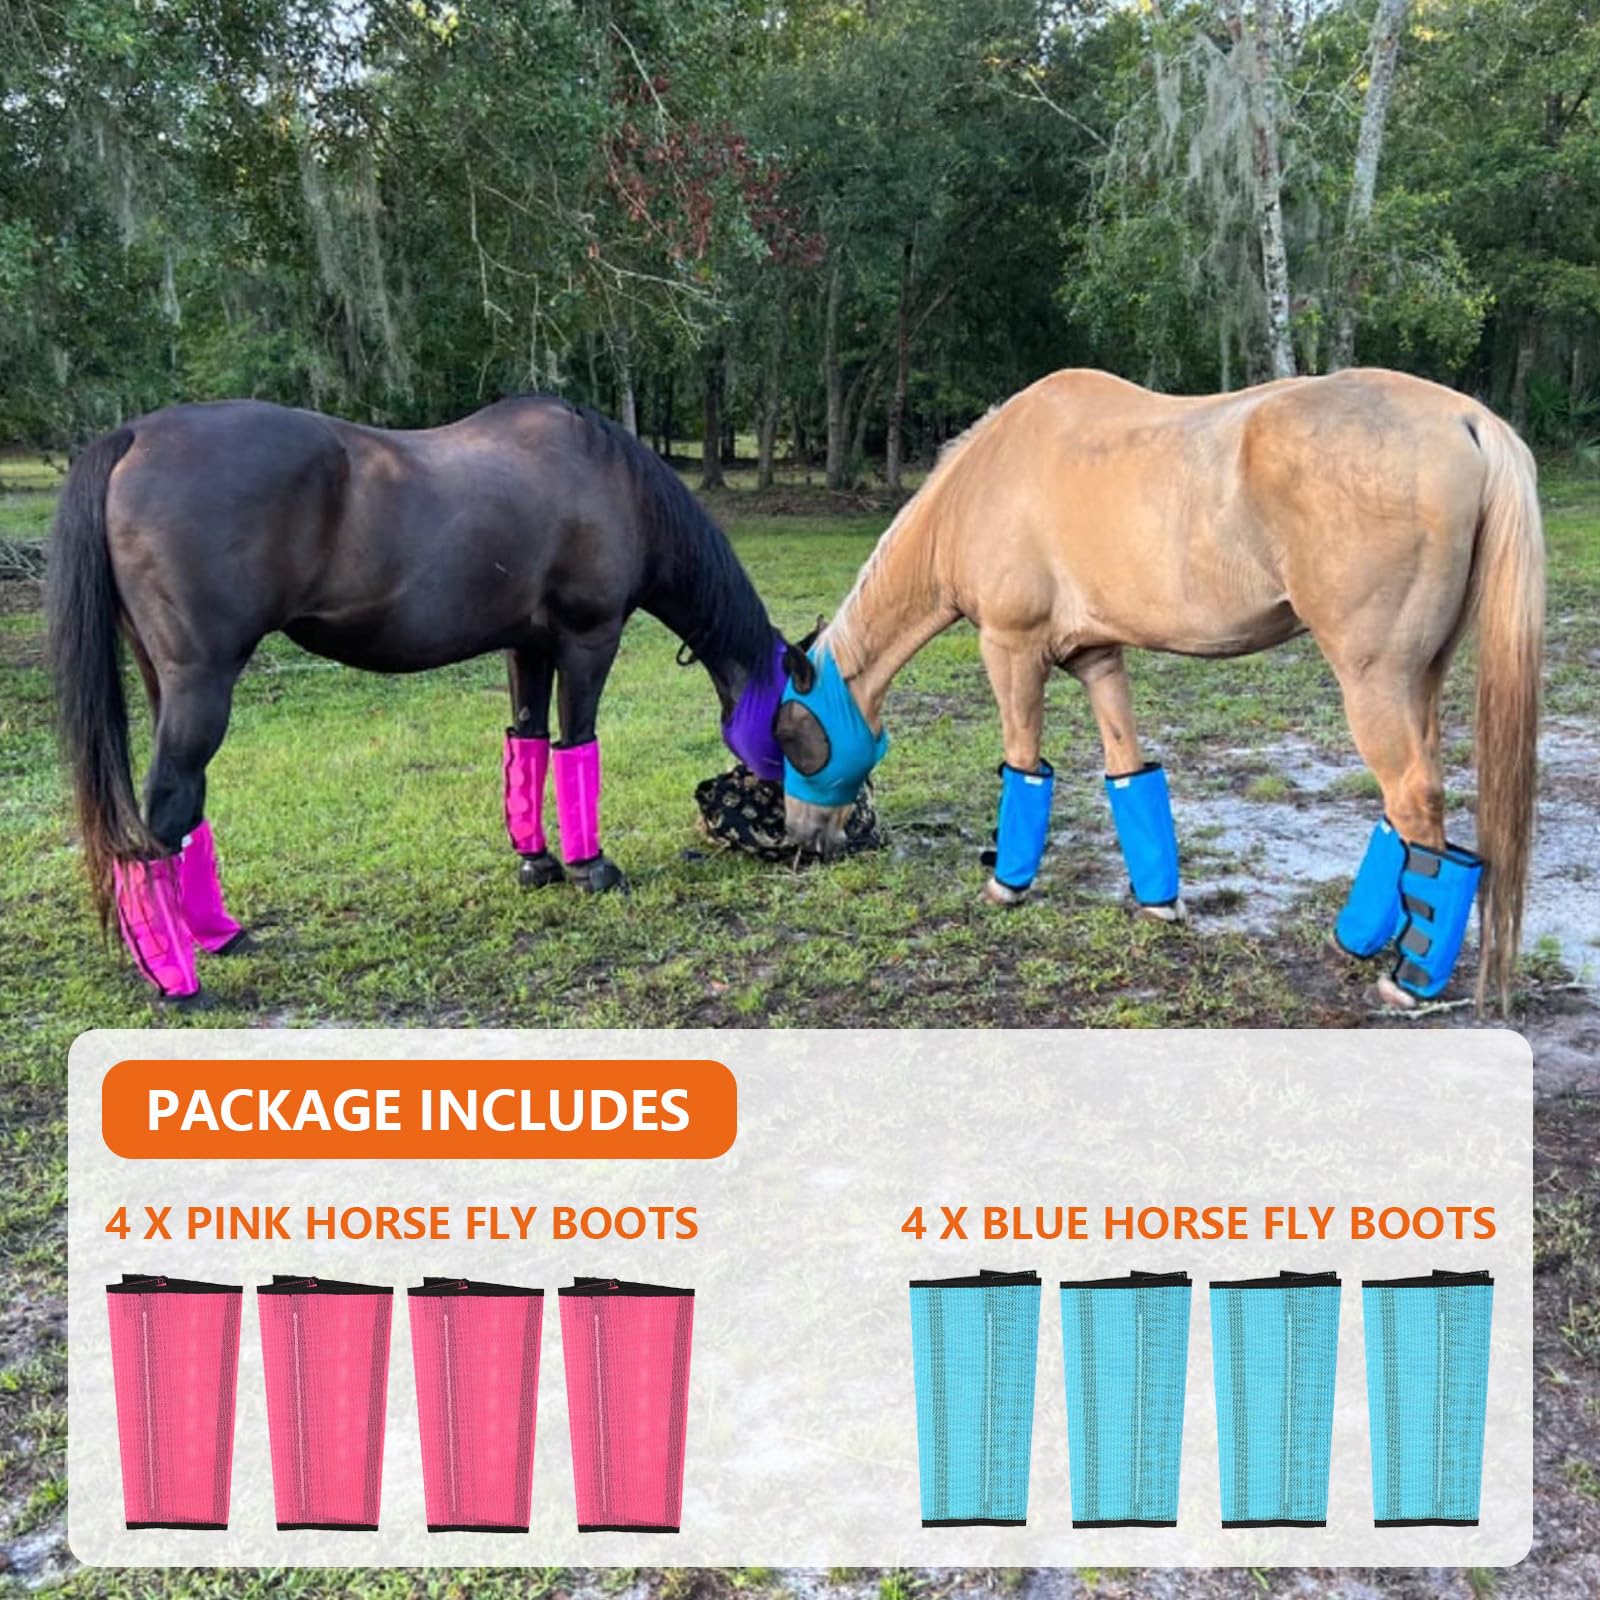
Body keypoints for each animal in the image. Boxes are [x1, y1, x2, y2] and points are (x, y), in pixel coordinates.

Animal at [46, 394, 790, 1002]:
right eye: (797, 726)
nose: (813, 833)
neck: (611, 481)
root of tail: (135, 437)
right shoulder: (588, 641)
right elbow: (576, 745)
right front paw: (590, 870)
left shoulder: (528, 647)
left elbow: (527, 747)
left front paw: (537, 864)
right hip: (203, 683)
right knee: (164, 810)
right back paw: (181, 985)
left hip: (169, 683)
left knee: (185, 809)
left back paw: (221, 937)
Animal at [773, 368, 1544, 1011]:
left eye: (789, 736)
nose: (800, 841)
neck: (988, 477)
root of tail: (1467, 419)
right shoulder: (1097, 658)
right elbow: (1128, 772)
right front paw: (1158, 902)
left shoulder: (1011, 649)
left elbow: (1022, 765)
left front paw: (1007, 883)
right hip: (1421, 677)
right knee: (1410, 813)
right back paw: (1355, 940)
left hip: (1374, 679)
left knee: (1412, 801)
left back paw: (1408, 980)